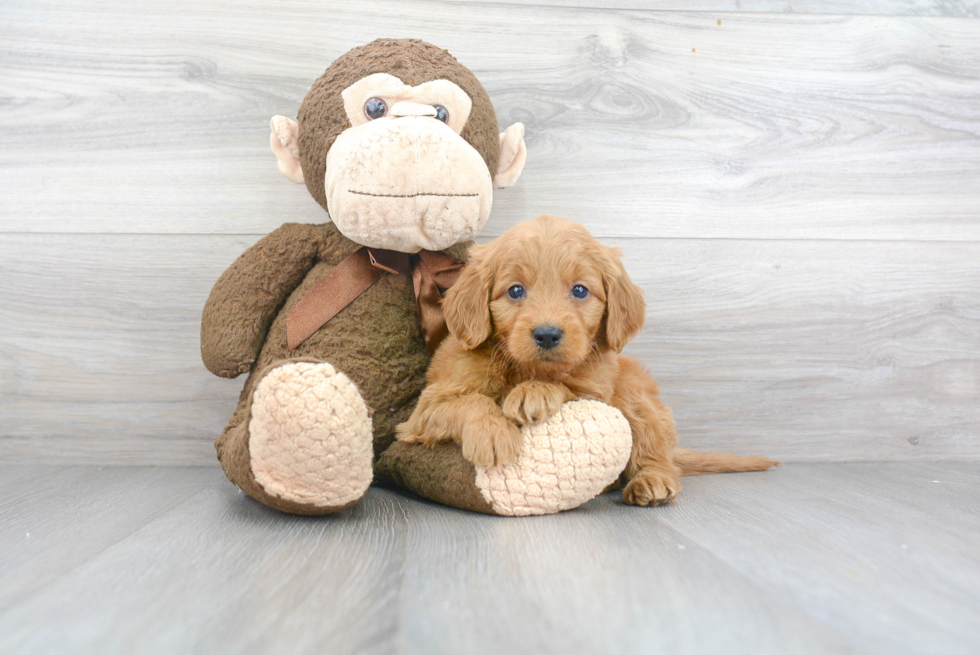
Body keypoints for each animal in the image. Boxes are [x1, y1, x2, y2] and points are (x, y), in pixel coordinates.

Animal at [394, 215, 776, 508]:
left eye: (580, 290)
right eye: (515, 290)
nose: (547, 334)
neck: (522, 369)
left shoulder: (596, 392)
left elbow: (565, 386)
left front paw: (534, 392)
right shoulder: (425, 410)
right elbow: (470, 401)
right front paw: (493, 434)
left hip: (635, 394)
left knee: (659, 456)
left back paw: (651, 482)